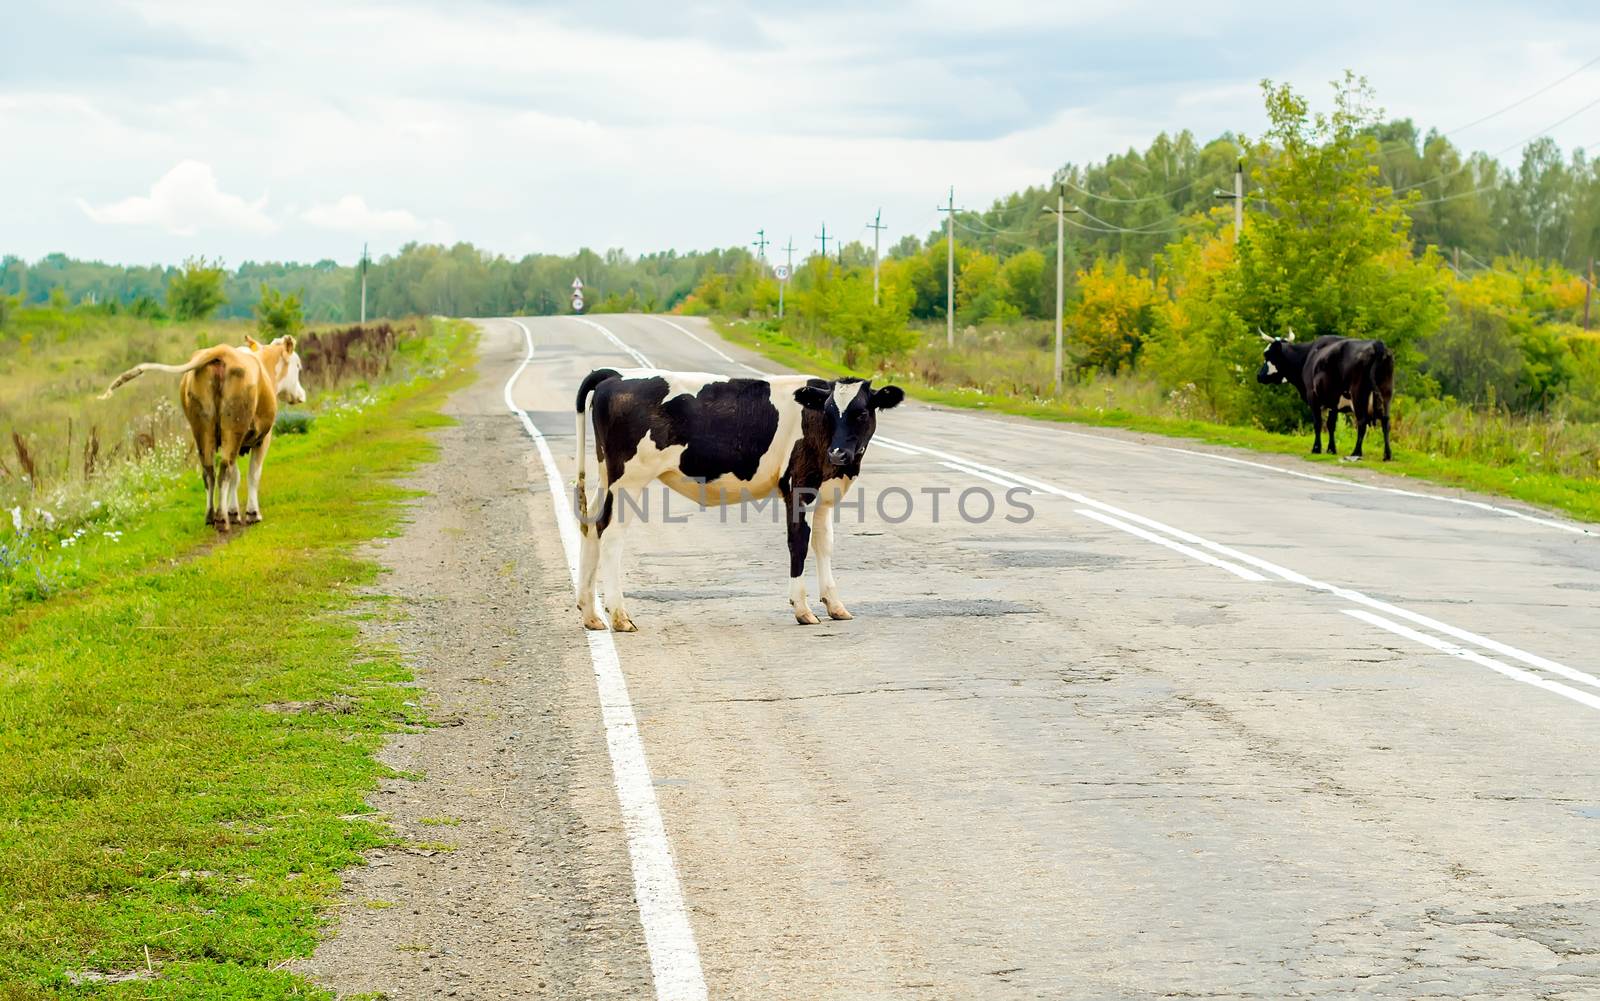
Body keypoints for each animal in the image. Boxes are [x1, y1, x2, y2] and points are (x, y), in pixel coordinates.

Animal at [99, 335, 305, 527]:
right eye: (298, 366)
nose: (302, 395)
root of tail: (221, 351)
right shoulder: (263, 438)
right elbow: (252, 474)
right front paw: (252, 513)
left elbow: (236, 476)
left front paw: (233, 511)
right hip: (233, 428)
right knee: (224, 468)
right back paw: (221, 518)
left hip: (202, 428)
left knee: (209, 471)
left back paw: (211, 515)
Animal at [572, 366, 902, 630]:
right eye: (830, 413)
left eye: (861, 413)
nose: (838, 453)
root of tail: (617, 375)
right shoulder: (799, 488)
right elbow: (799, 543)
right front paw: (803, 610)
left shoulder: (824, 493)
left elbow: (824, 544)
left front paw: (835, 606)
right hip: (629, 479)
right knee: (611, 535)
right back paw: (620, 616)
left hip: (607, 476)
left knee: (592, 527)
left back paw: (591, 615)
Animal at [1254, 327, 1395, 460]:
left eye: (1267, 355)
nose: (1259, 376)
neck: (1307, 357)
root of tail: (1377, 344)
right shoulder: (1334, 401)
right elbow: (1331, 424)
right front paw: (1331, 449)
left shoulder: (1312, 396)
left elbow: (1318, 423)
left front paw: (1316, 448)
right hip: (1386, 392)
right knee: (1386, 421)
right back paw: (1387, 454)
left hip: (1358, 394)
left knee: (1362, 422)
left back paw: (1356, 452)